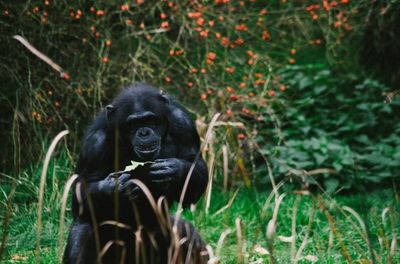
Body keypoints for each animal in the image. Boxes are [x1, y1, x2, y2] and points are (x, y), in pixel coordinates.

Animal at [63, 83, 208, 262]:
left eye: (149, 120)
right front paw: (113, 187)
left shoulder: (184, 123)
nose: (144, 132)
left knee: (185, 232)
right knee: (83, 230)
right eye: (133, 124)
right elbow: (80, 193)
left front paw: (174, 170)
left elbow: (195, 169)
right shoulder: (94, 144)